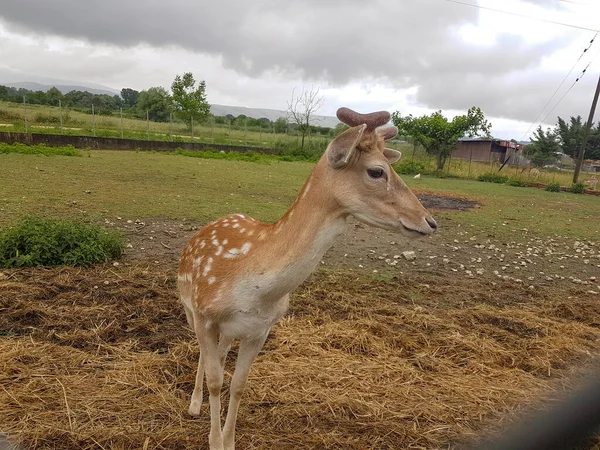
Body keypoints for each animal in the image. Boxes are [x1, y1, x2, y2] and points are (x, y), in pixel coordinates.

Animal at [177, 106, 436, 450]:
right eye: (377, 171)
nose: (430, 222)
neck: (257, 288)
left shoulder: (260, 329)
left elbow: (239, 384)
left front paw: (229, 441)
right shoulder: (205, 315)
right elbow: (217, 380)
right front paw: (214, 440)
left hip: (228, 331)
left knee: (217, 356)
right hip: (189, 308)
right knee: (204, 356)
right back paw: (194, 404)